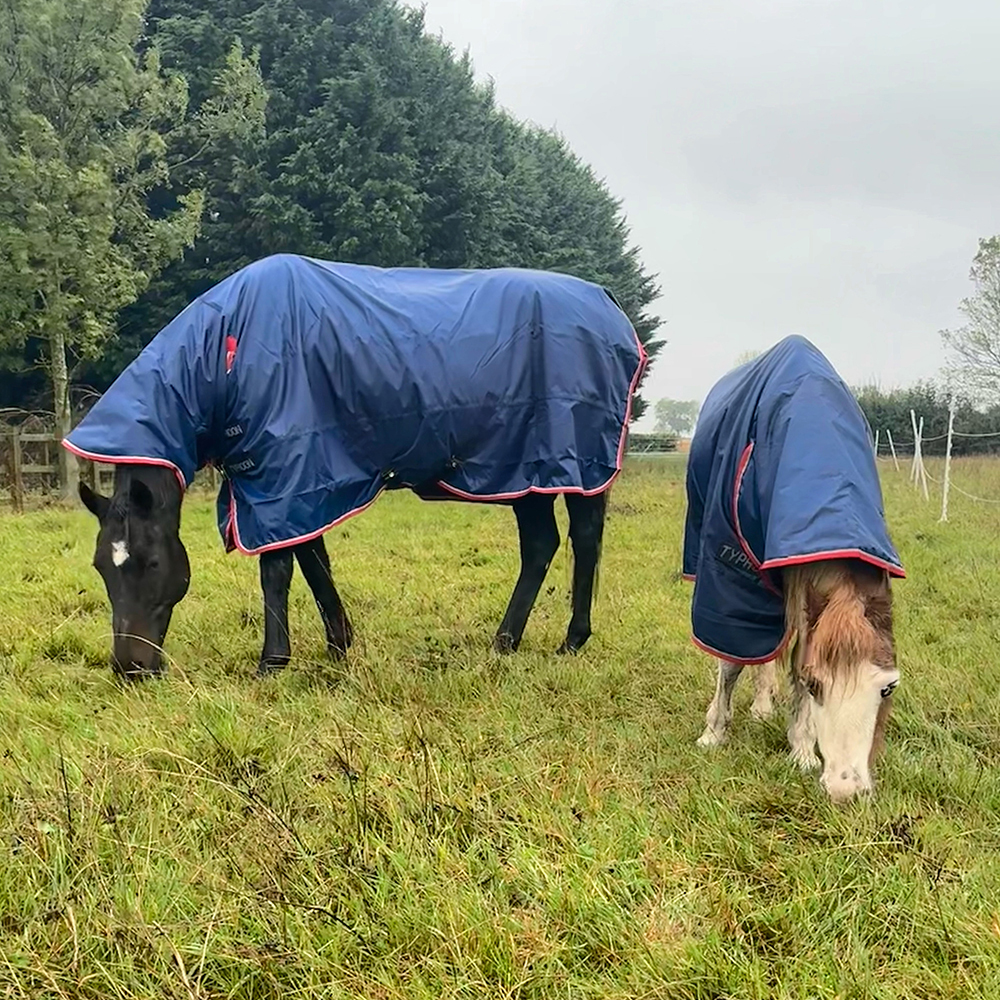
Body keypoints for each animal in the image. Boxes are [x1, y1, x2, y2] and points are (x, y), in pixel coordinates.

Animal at [66, 255, 646, 679]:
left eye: (150, 563)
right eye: (101, 567)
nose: (131, 669)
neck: (230, 350)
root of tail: (607, 304)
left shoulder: (284, 478)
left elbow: (278, 571)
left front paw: (272, 661)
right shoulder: (304, 482)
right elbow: (313, 560)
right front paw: (339, 645)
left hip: (574, 466)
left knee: (583, 541)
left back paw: (571, 640)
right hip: (527, 474)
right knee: (542, 546)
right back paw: (506, 641)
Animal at [682, 336, 904, 802]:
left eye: (888, 687)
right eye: (820, 685)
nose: (845, 790)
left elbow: (794, 657)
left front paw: (801, 751)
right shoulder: (731, 580)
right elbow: (731, 662)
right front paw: (714, 733)